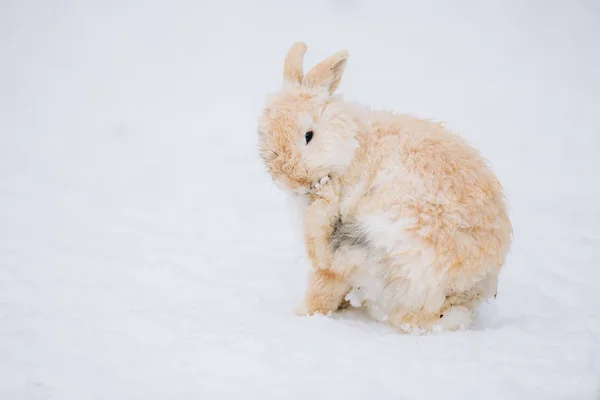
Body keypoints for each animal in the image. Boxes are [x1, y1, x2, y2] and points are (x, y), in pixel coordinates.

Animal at [255, 42, 512, 332]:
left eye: (308, 135)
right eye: (263, 136)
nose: (292, 180)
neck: (352, 146)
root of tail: (466, 289)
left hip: (373, 243)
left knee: (329, 266)